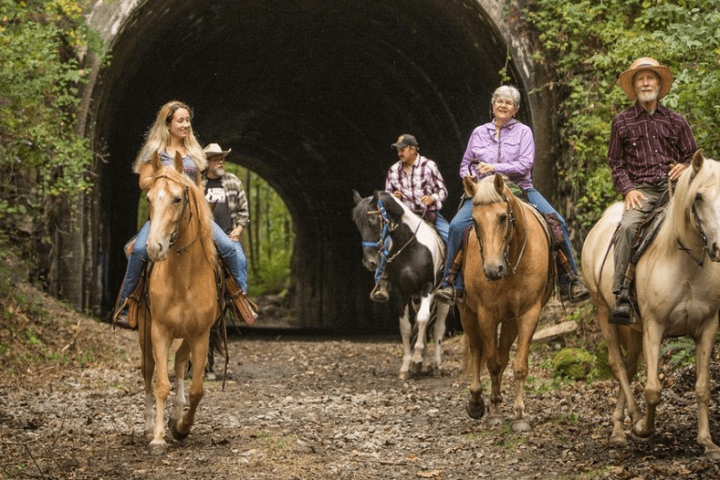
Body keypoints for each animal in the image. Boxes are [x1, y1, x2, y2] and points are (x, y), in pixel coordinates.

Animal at [138, 153, 219, 454]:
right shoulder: (159, 330)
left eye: (177, 199)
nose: (154, 248)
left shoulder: (202, 334)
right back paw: (150, 425)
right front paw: (159, 437)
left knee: (181, 363)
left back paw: (176, 415)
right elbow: (161, 384)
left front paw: (182, 427)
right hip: (144, 331)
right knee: (149, 371)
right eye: (148, 198)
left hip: (189, 335)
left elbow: (196, 389)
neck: (184, 278)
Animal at [350, 190, 448, 378]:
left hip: (443, 299)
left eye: (373, 220)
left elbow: (423, 320)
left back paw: (436, 365)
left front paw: (416, 358)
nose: (369, 262)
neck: (411, 246)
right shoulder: (398, 292)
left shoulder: (428, 288)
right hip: (415, 298)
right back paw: (423, 363)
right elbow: (406, 327)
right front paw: (407, 366)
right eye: (357, 224)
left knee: (438, 327)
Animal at [458, 175, 556, 432]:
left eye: (503, 216)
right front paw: (494, 413)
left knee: (502, 356)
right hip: (467, 312)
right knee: (476, 349)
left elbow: (518, 365)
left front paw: (519, 415)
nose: (493, 269)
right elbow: (491, 362)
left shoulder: (529, 313)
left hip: (510, 321)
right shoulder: (486, 314)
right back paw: (476, 402)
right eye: (474, 220)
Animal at [584, 152, 720, 460]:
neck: (685, 262)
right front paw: (643, 428)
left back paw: (618, 426)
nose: (719, 247)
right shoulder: (654, 328)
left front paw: (707, 442)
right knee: (618, 365)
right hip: (604, 312)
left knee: (629, 365)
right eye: (698, 197)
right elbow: (653, 390)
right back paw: (629, 423)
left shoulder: (707, 327)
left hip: (632, 329)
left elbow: (703, 388)